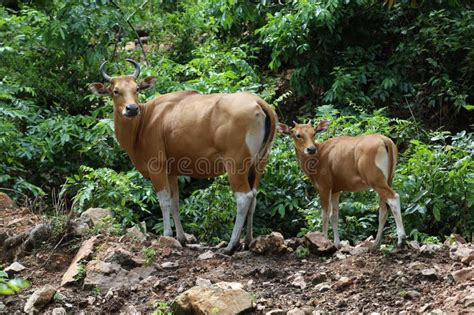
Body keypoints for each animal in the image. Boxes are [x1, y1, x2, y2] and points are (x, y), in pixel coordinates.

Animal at [89, 59, 278, 256]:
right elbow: (175, 202)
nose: (132, 108)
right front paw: (181, 238)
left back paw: (231, 245)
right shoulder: (171, 172)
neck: (144, 123)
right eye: (116, 91)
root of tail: (258, 102)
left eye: (137, 89)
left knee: (243, 198)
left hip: (235, 164)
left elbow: (164, 201)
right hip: (260, 163)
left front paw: (167, 234)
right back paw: (248, 241)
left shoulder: (157, 167)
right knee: (254, 197)